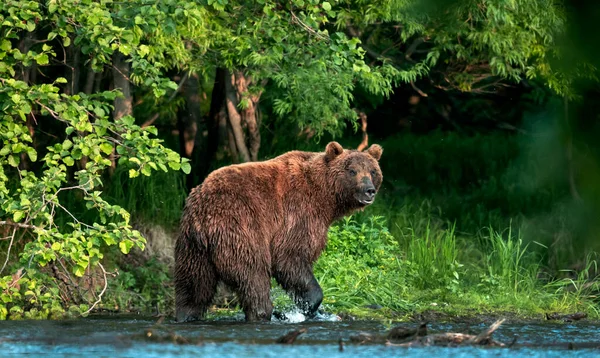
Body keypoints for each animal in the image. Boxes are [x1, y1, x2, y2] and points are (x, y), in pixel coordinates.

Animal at [173, 141, 382, 322]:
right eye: (352, 171)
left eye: (373, 171)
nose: (369, 190)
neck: (325, 200)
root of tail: (203, 214)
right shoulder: (299, 213)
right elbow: (289, 256)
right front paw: (308, 305)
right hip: (240, 227)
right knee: (253, 273)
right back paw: (264, 313)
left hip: (192, 247)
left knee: (194, 285)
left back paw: (186, 315)